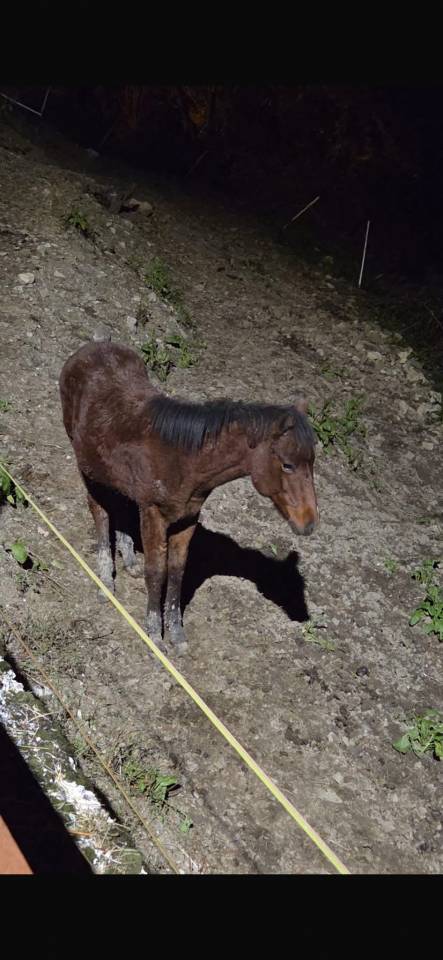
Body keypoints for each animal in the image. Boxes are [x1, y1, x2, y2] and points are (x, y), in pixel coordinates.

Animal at [59, 341, 319, 654]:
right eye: (287, 465)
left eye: (312, 462)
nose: (308, 523)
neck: (183, 459)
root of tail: (92, 347)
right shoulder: (154, 514)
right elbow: (156, 571)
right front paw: (154, 633)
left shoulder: (187, 519)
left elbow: (177, 572)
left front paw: (176, 633)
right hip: (89, 471)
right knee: (100, 513)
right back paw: (105, 582)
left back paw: (127, 557)